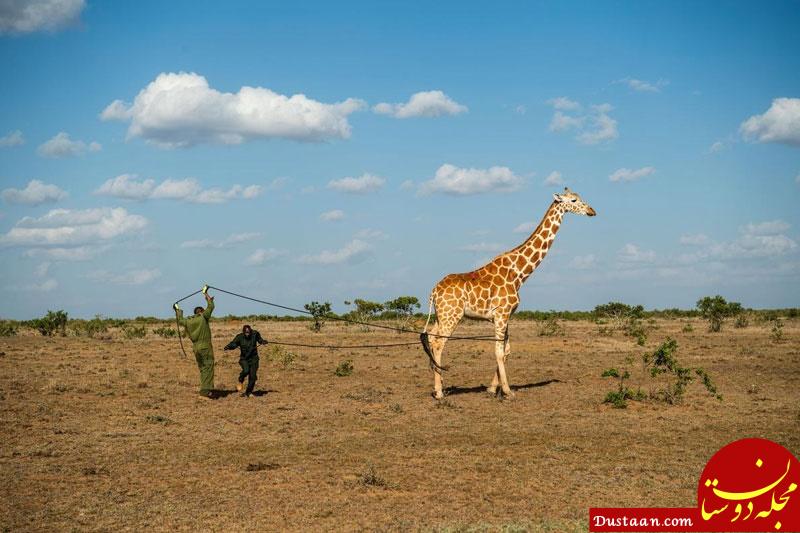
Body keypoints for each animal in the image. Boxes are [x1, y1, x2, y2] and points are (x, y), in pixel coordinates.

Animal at [422, 188, 596, 400]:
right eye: (573, 200)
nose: (592, 211)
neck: (519, 273)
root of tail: (434, 291)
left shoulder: (506, 316)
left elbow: (506, 351)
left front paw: (492, 388)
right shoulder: (502, 314)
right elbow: (498, 351)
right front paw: (507, 391)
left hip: (441, 315)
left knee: (431, 338)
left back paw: (439, 385)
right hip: (452, 316)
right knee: (439, 343)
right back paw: (439, 392)